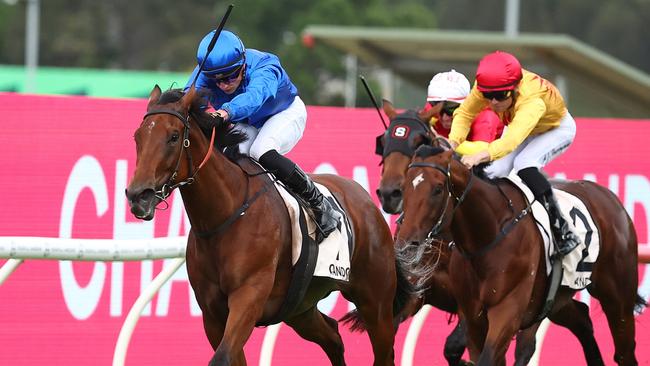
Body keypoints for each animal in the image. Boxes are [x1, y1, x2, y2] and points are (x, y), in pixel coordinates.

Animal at [125, 85, 416, 364]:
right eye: (137, 137)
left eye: (174, 137)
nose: (138, 195)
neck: (225, 216)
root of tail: (367, 200)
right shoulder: (212, 315)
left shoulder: (249, 297)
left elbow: (222, 357)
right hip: (300, 307)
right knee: (333, 336)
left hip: (376, 304)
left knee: (383, 352)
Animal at [398, 145, 640, 366]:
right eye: (405, 186)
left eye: (438, 189)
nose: (406, 243)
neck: (488, 235)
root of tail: (610, 199)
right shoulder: (471, 315)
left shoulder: (507, 310)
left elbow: (486, 357)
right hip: (554, 298)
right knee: (582, 319)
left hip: (617, 296)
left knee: (624, 352)